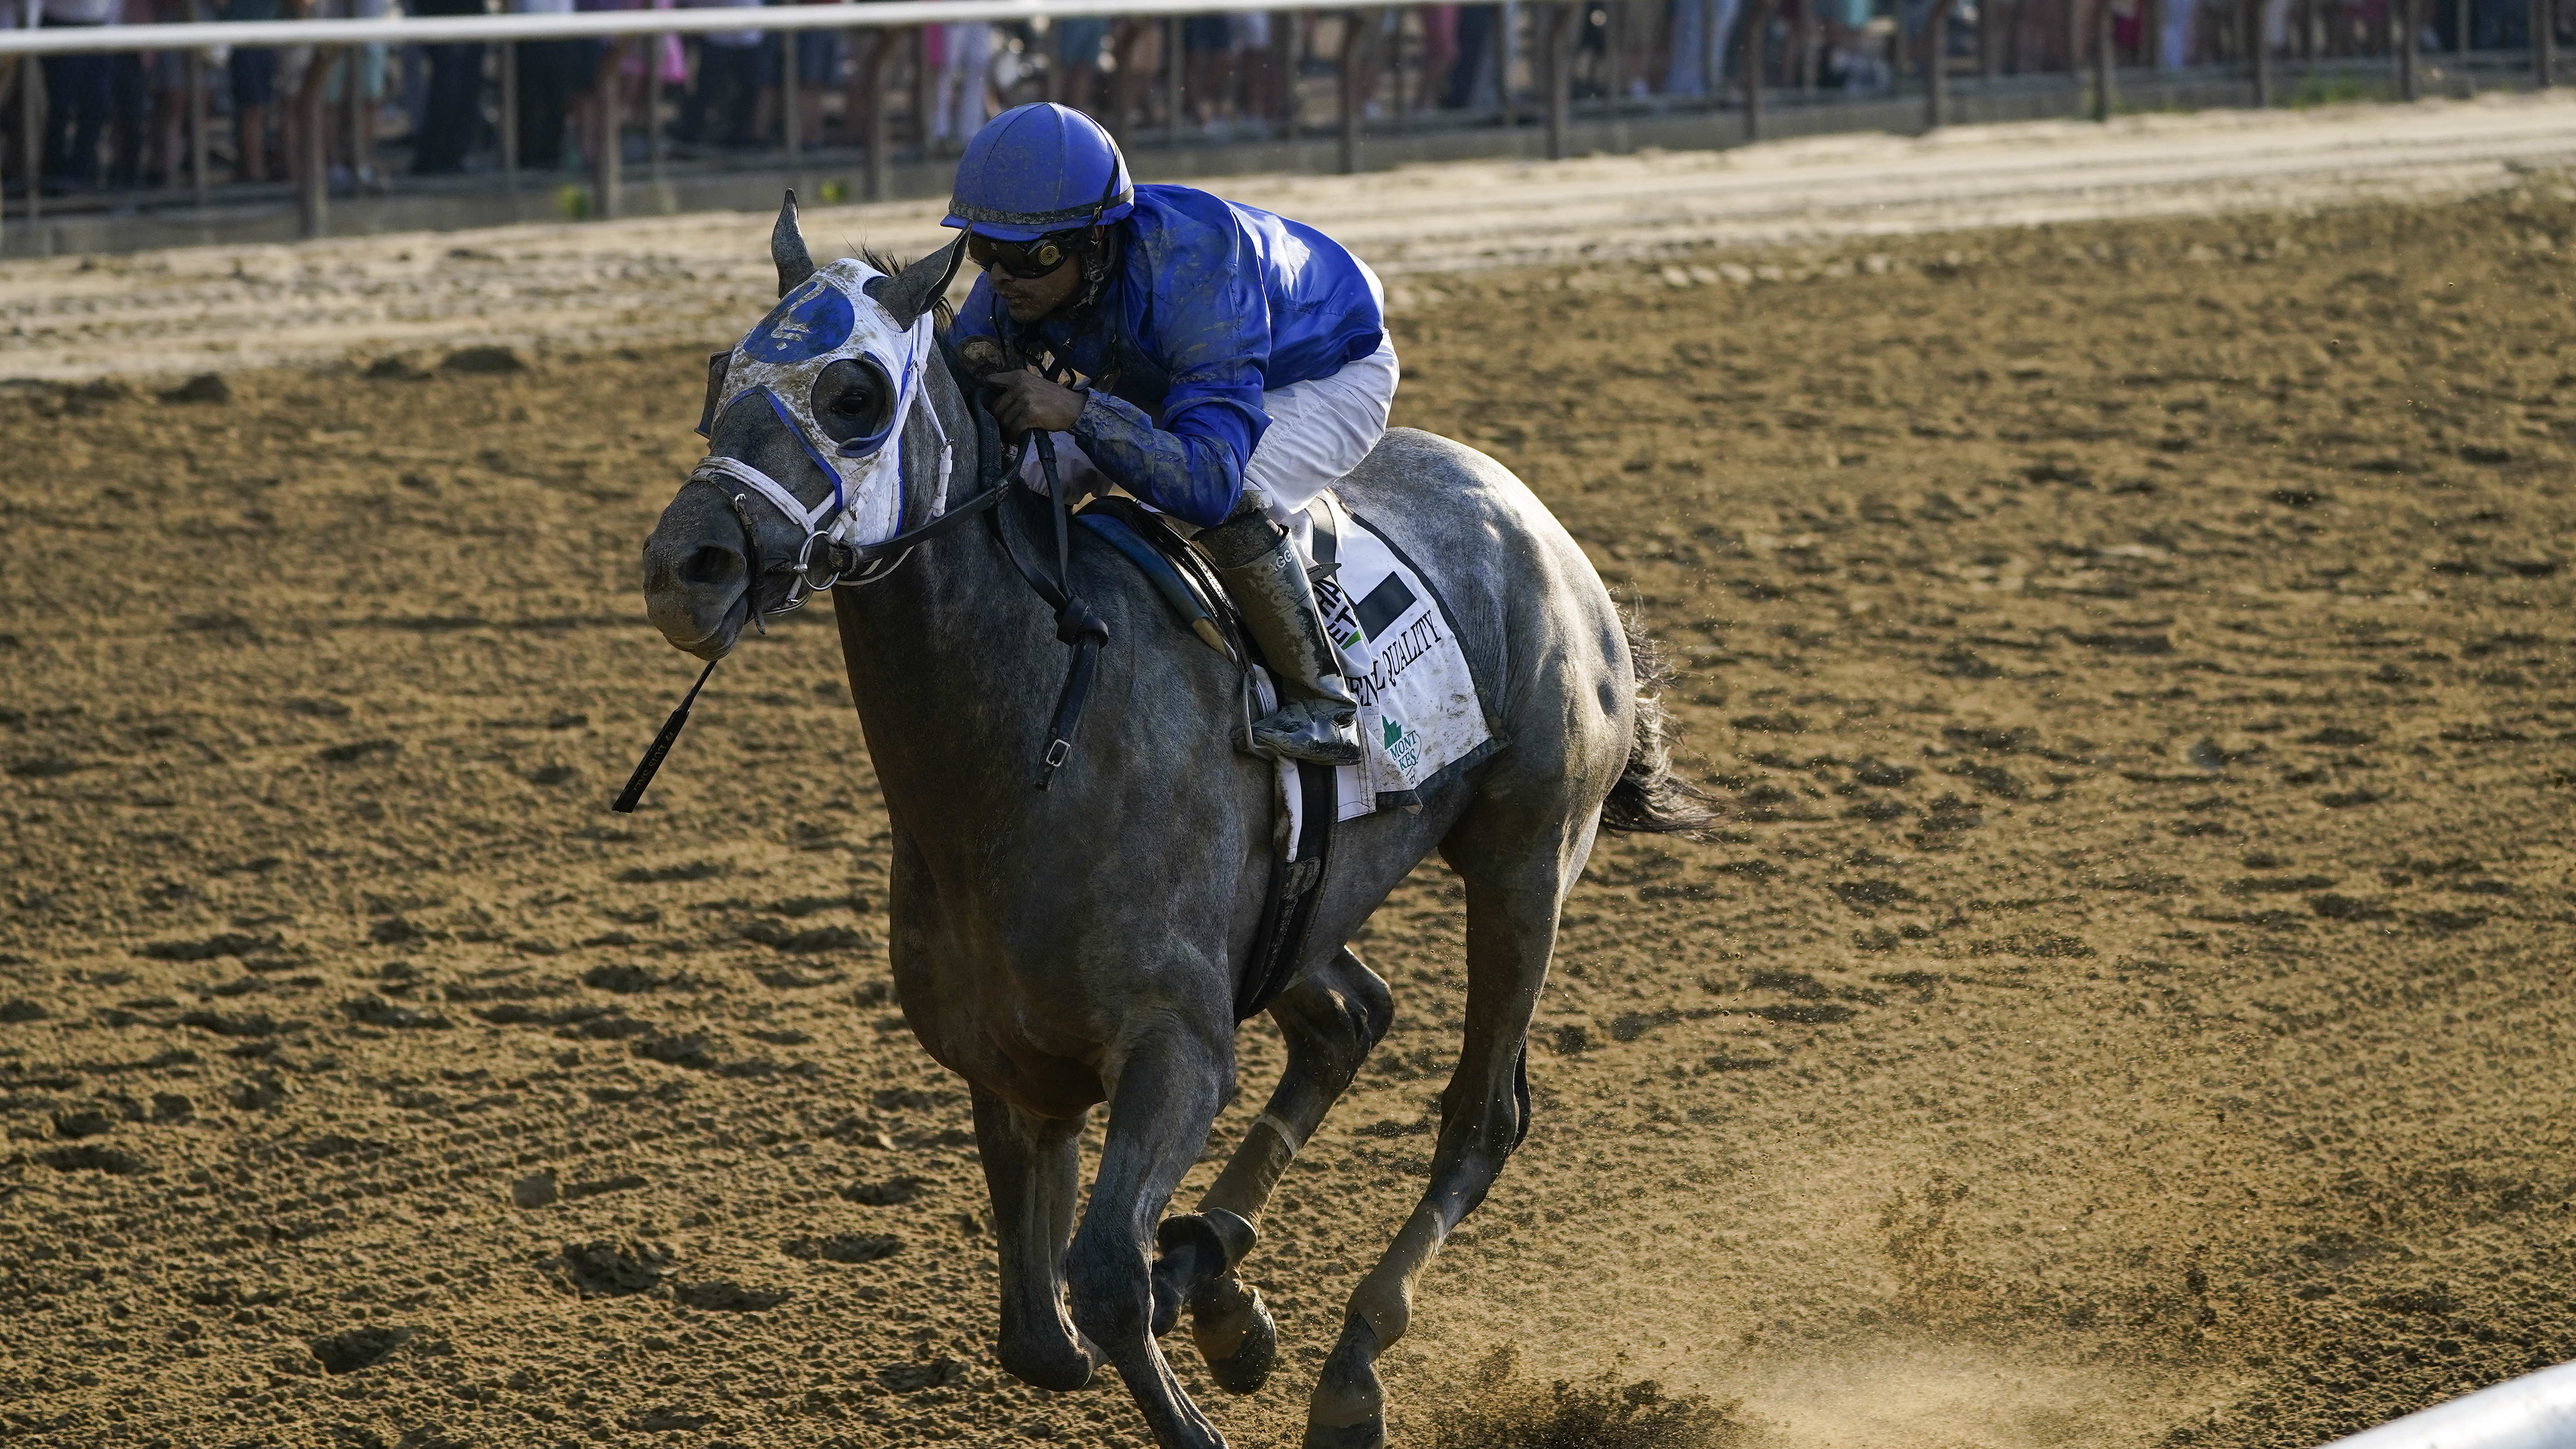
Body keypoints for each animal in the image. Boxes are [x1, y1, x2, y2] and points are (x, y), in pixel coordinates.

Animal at [637, 199, 1705, 1449]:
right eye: (721, 374)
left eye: (854, 392)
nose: (684, 564)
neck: (1022, 762)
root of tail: (1537, 521)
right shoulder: (1012, 1061)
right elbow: (1040, 1334)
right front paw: (1210, 1297)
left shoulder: (1175, 1043)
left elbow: (1101, 1276)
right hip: (1300, 902)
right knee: (1349, 1019)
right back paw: (1217, 1274)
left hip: (1524, 859)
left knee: (1482, 1116)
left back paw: (1349, 1367)